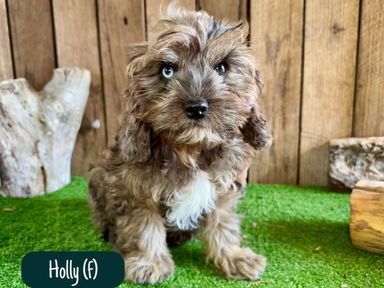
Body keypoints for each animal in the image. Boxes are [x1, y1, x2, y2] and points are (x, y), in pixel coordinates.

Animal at [89, 6, 272, 284]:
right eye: (167, 70)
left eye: (222, 67)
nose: (197, 107)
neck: (191, 150)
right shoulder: (133, 188)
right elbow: (144, 226)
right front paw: (150, 263)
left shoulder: (223, 186)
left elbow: (223, 222)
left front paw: (233, 256)